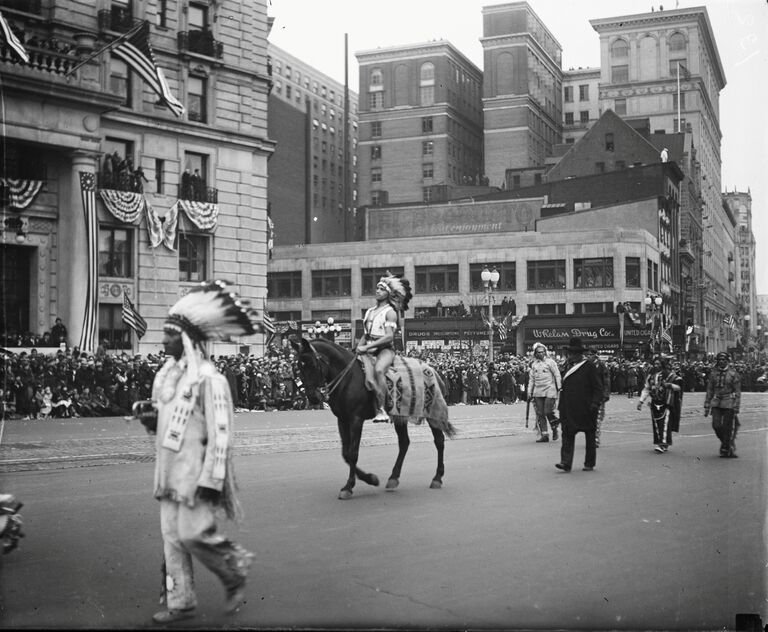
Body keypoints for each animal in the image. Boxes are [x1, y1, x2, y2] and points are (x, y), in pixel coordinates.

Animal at [292, 336, 452, 498]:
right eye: (299, 366)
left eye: (312, 364)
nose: (313, 397)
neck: (348, 378)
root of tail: (432, 370)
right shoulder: (342, 419)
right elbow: (346, 453)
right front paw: (370, 479)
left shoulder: (356, 419)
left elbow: (353, 453)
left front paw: (349, 486)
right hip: (400, 415)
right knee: (404, 443)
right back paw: (393, 478)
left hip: (433, 413)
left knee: (439, 441)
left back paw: (437, 478)